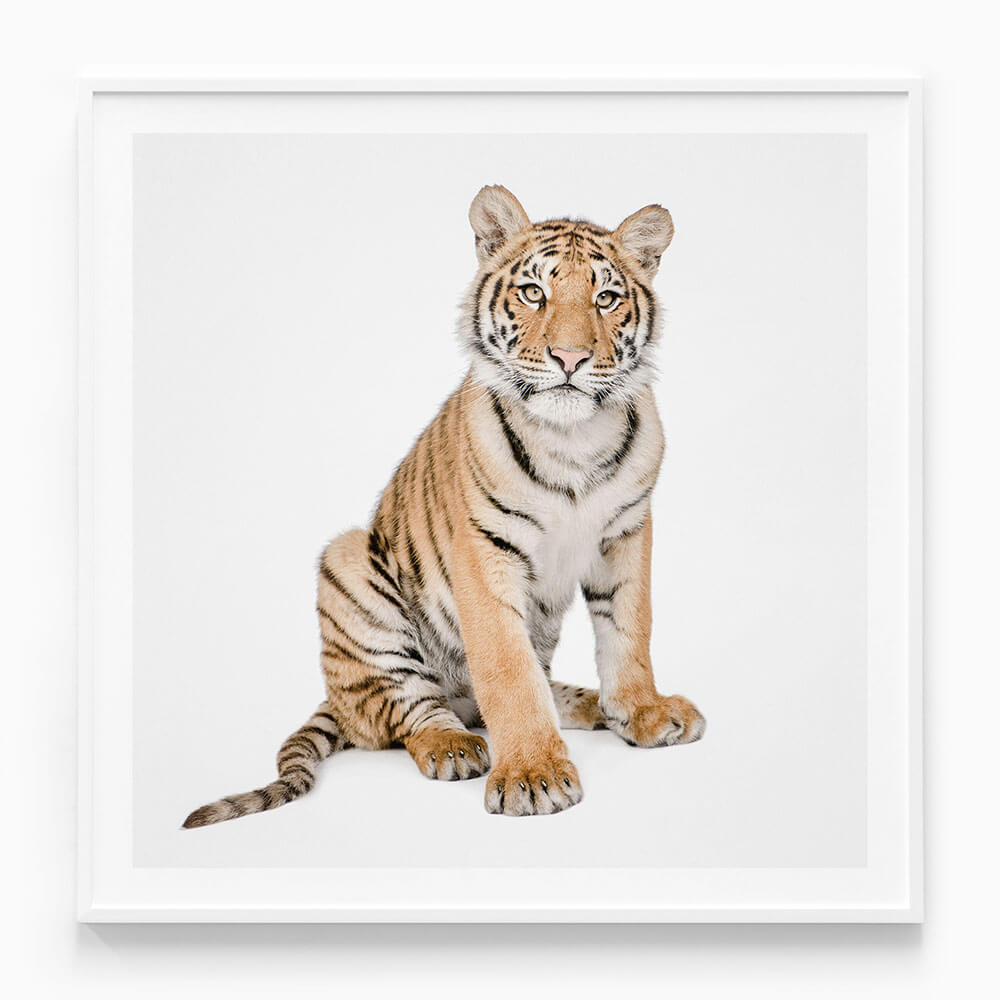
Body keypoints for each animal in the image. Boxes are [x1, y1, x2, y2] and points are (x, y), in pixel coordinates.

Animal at [182, 184, 705, 826]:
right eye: (534, 292)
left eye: (606, 298)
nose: (570, 358)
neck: (572, 439)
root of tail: (333, 698)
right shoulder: (484, 550)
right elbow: (507, 670)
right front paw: (532, 774)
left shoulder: (626, 534)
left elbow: (630, 632)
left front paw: (644, 713)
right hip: (348, 565)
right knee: (405, 713)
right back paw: (454, 745)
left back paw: (585, 704)